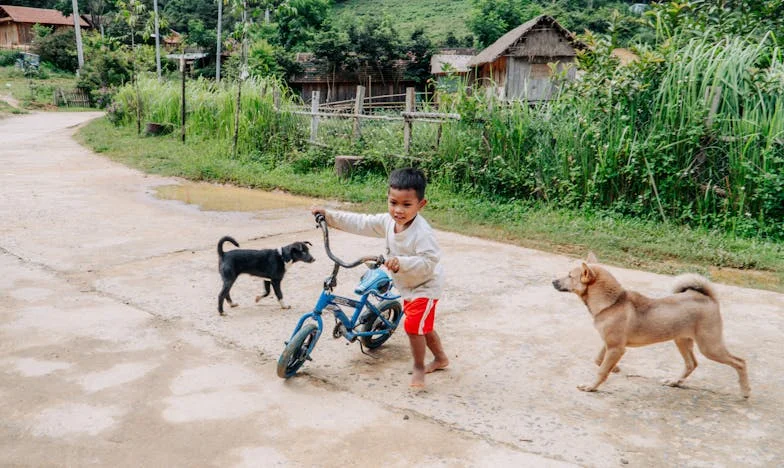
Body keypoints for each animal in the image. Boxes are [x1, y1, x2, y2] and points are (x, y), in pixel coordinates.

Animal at [552, 256, 748, 398]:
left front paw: (591, 387)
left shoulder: (616, 348)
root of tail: (708, 298)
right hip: (682, 341)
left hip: (710, 346)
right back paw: (675, 382)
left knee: (740, 362)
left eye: (570, 276)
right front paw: (615, 368)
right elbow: (599, 360)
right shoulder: (610, 345)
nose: (553, 281)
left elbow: (601, 370)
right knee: (691, 364)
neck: (613, 302)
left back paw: (745, 391)